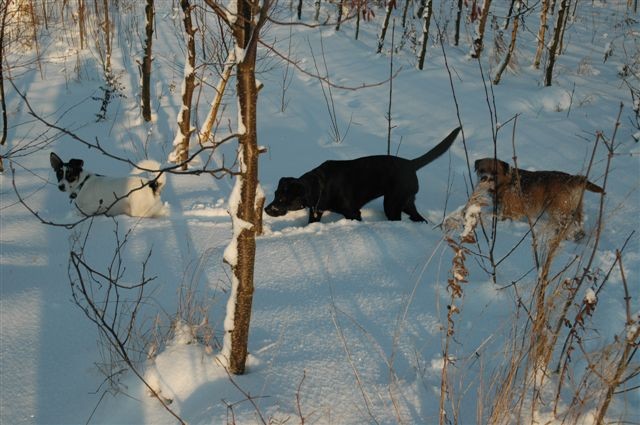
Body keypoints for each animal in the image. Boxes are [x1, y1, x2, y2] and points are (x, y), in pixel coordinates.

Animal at [264, 126, 460, 224]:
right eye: (275, 194)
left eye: (282, 199)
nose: (266, 209)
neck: (318, 187)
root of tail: (411, 163)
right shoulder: (315, 212)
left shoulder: (352, 213)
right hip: (406, 202)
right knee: (418, 217)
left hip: (392, 203)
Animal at [476, 158, 604, 240]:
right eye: (481, 170)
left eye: (494, 171)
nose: (484, 178)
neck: (505, 181)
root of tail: (573, 178)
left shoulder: (509, 210)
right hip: (574, 208)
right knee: (578, 223)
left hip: (558, 210)